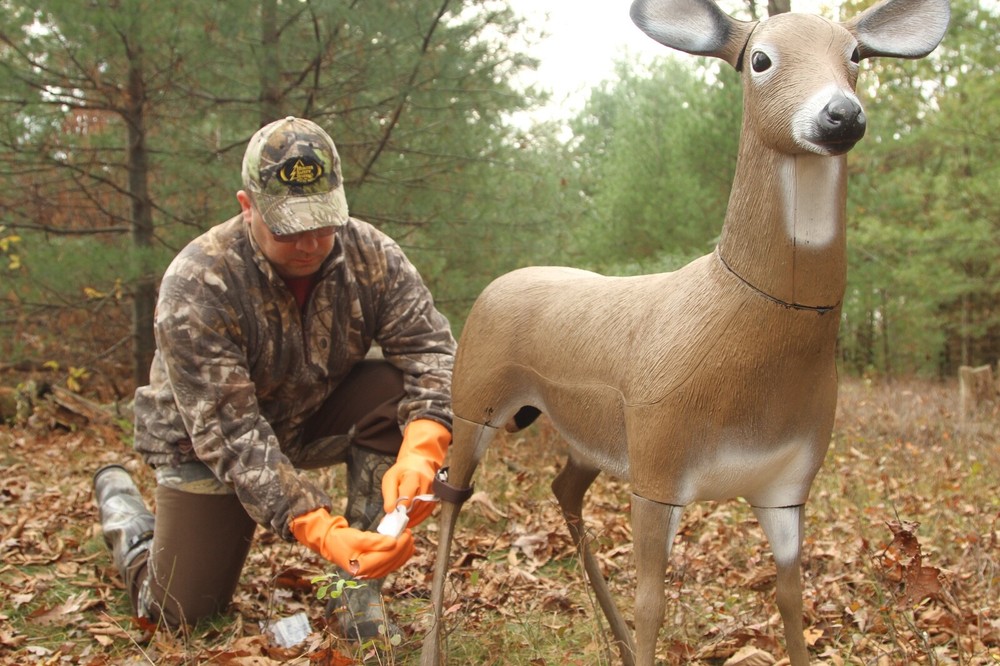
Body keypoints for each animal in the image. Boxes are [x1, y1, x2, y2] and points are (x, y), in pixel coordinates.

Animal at [420, 0, 950, 664]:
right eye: (760, 59)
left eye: (855, 56)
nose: (841, 114)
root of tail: (499, 282)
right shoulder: (660, 472)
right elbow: (654, 604)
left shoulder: (787, 482)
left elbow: (791, 599)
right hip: (476, 398)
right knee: (451, 495)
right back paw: (433, 647)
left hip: (594, 435)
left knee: (563, 488)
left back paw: (616, 642)